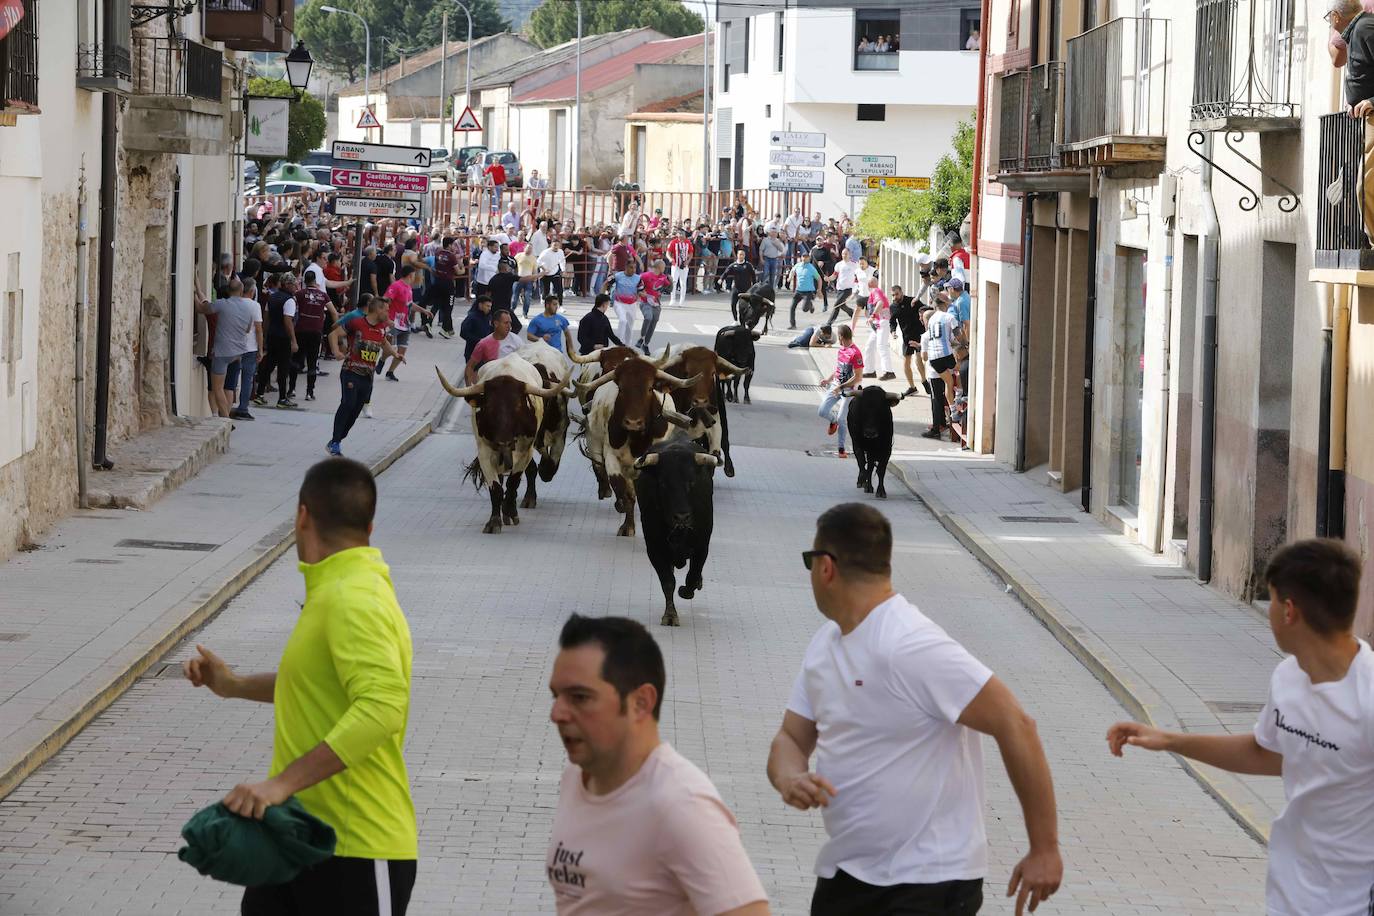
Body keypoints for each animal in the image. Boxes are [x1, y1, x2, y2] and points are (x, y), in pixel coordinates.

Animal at [431, 354, 555, 532]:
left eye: (518, 407)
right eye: (489, 407)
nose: (503, 442)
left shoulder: (525, 451)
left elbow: (513, 482)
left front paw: (509, 511)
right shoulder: (485, 453)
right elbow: (496, 488)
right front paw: (494, 521)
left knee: (526, 473)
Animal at [577, 354, 697, 538]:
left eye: (649, 388)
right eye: (621, 388)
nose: (633, 422)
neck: (636, 440)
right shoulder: (612, 457)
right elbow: (623, 490)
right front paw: (625, 520)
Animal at [632, 433, 719, 626]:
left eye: (691, 482)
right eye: (663, 483)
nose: (681, 516)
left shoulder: (702, 546)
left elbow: (693, 576)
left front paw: (686, 591)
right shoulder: (655, 549)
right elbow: (667, 582)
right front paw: (670, 615)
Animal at [662, 346, 747, 480]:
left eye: (712, 373)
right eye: (686, 374)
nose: (700, 401)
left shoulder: (715, 425)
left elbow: (714, 454)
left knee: (725, 442)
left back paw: (729, 468)